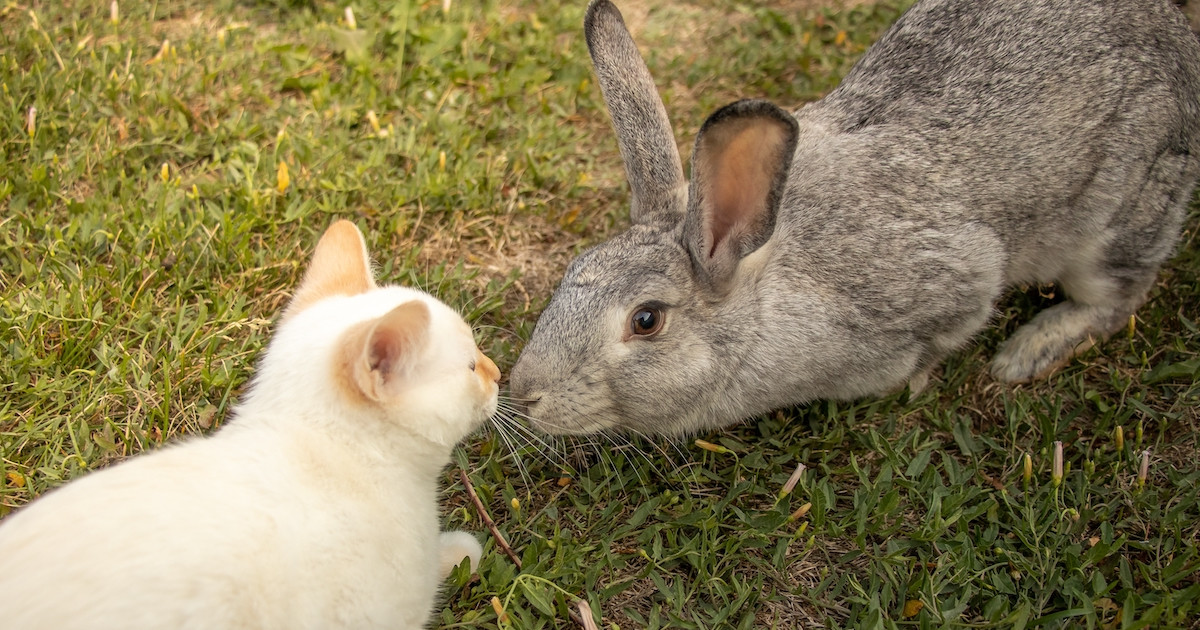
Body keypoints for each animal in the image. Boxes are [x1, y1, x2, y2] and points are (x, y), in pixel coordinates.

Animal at [509, 0, 1200, 437]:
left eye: (646, 320)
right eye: (572, 270)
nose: (523, 393)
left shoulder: (958, 276)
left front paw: (917, 383)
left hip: (1118, 215)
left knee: (1118, 295)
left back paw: (1028, 352)